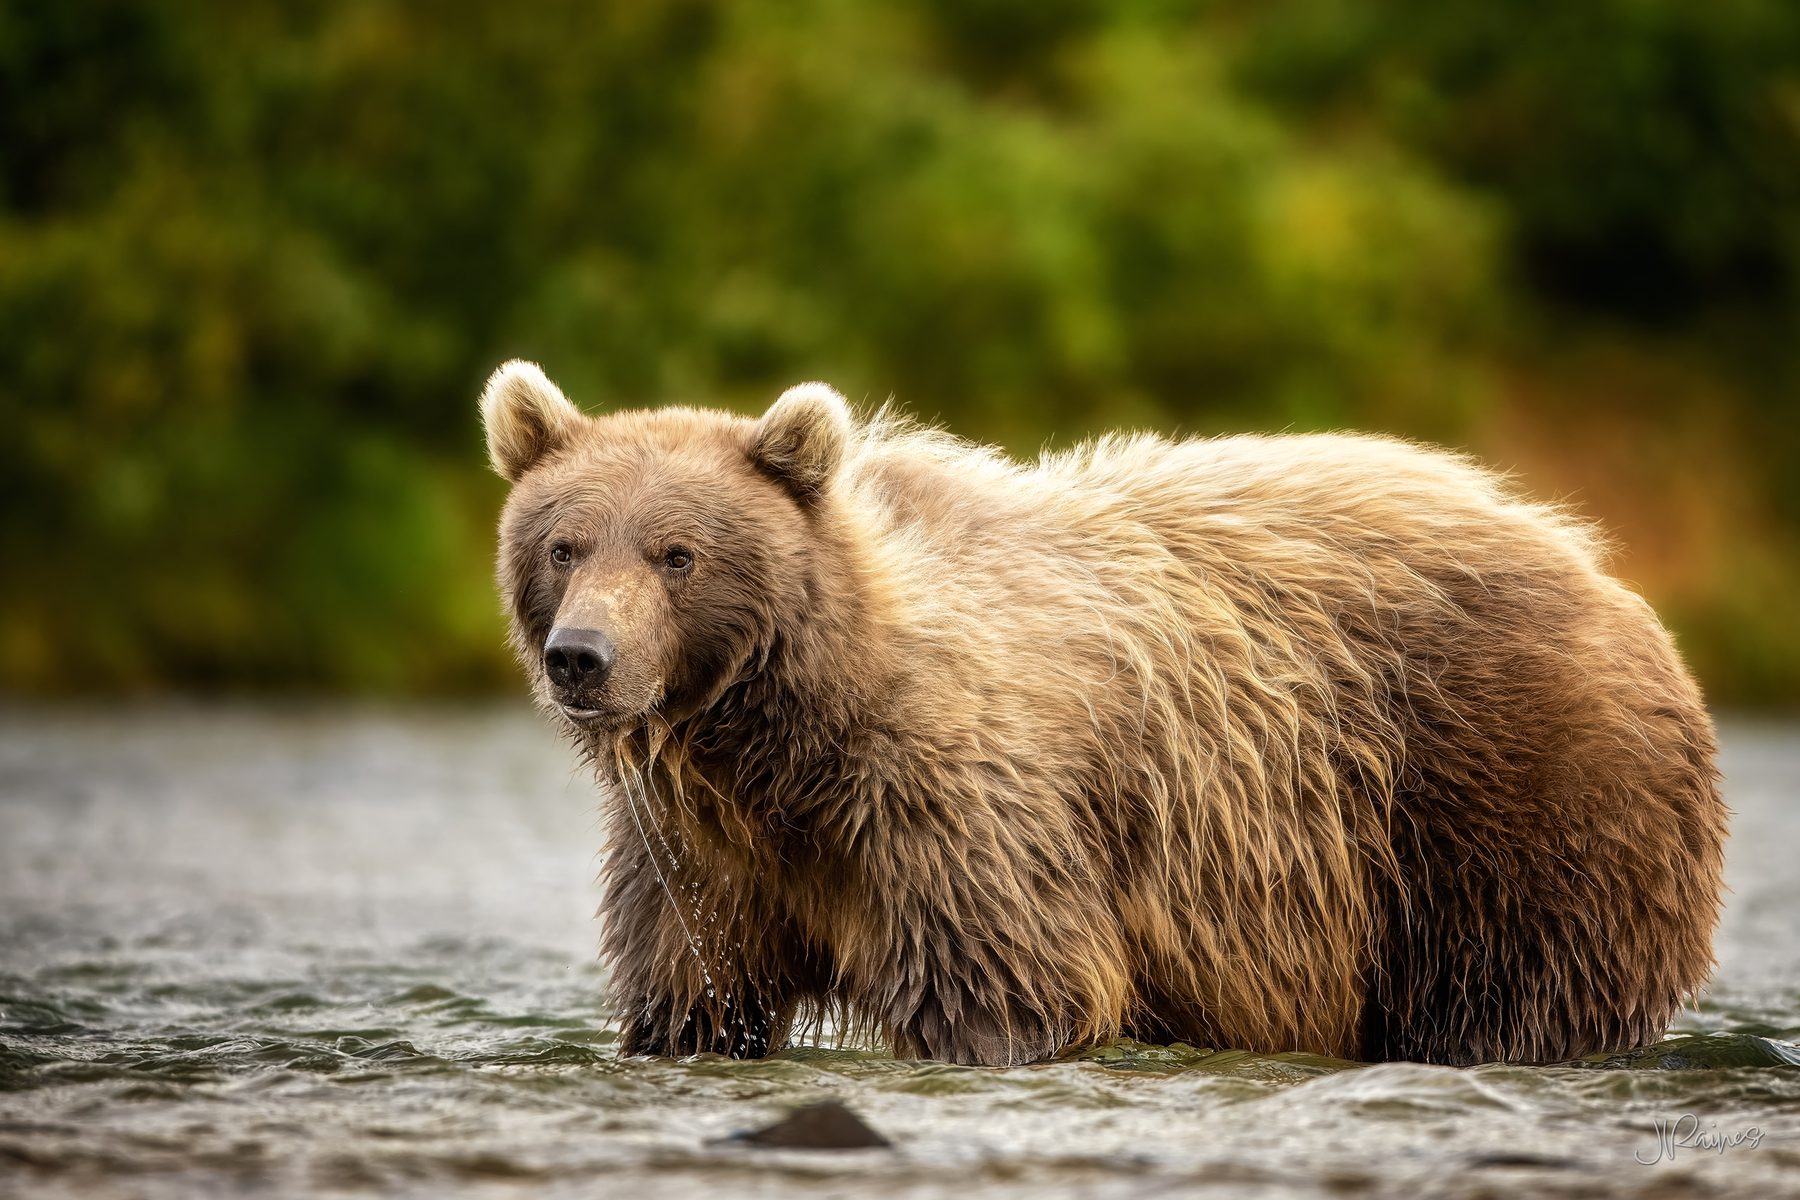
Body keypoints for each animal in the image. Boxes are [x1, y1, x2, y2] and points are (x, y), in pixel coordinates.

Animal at [480, 360, 1727, 1067]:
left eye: (677, 554)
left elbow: (1009, 987)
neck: (784, 742)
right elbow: (693, 992)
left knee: (1516, 987)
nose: (583, 657)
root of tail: (1610, 576)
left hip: (1512, 802)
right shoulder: (704, 853)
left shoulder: (959, 812)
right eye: (564, 542)